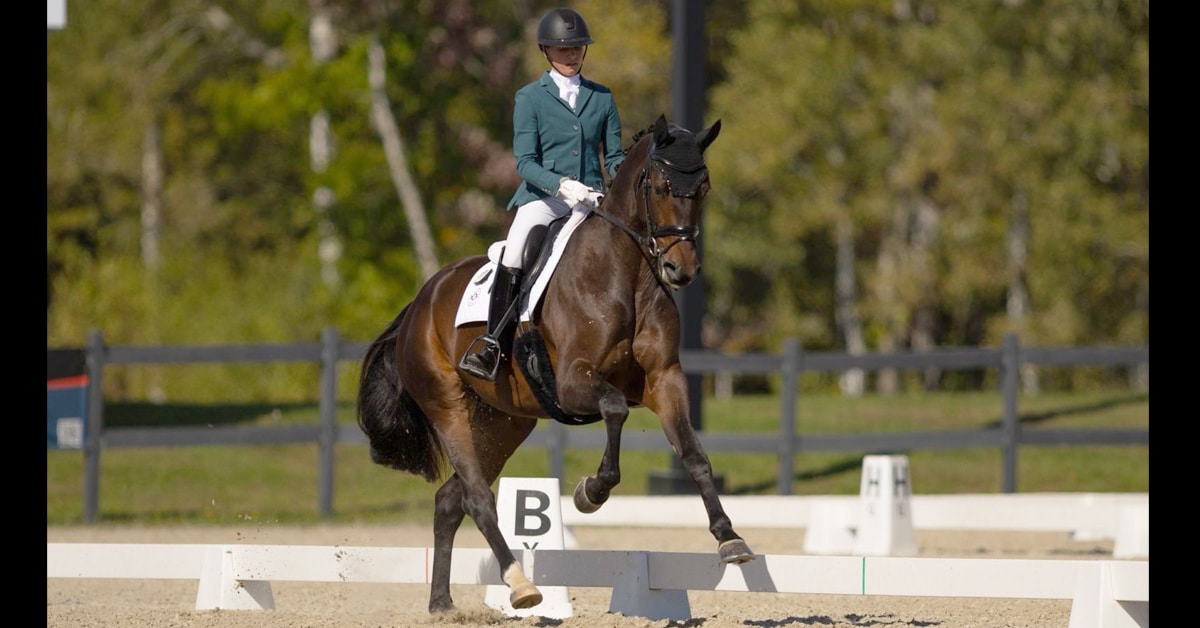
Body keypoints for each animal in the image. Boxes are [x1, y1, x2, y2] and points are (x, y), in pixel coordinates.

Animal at [356, 114, 755, 614]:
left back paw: (442, 603)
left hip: (504, 421)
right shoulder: (571, 382)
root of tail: (419, 302)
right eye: (662, 187)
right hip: (447, 406)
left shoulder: (666, 380)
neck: (627, 275)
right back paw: (520, 586)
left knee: (451, 500)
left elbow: (694, 453)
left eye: (703, 188)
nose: (681, 271)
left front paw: (729, 538)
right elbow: (614, 409)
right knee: (477, 497)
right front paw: (591, 492)